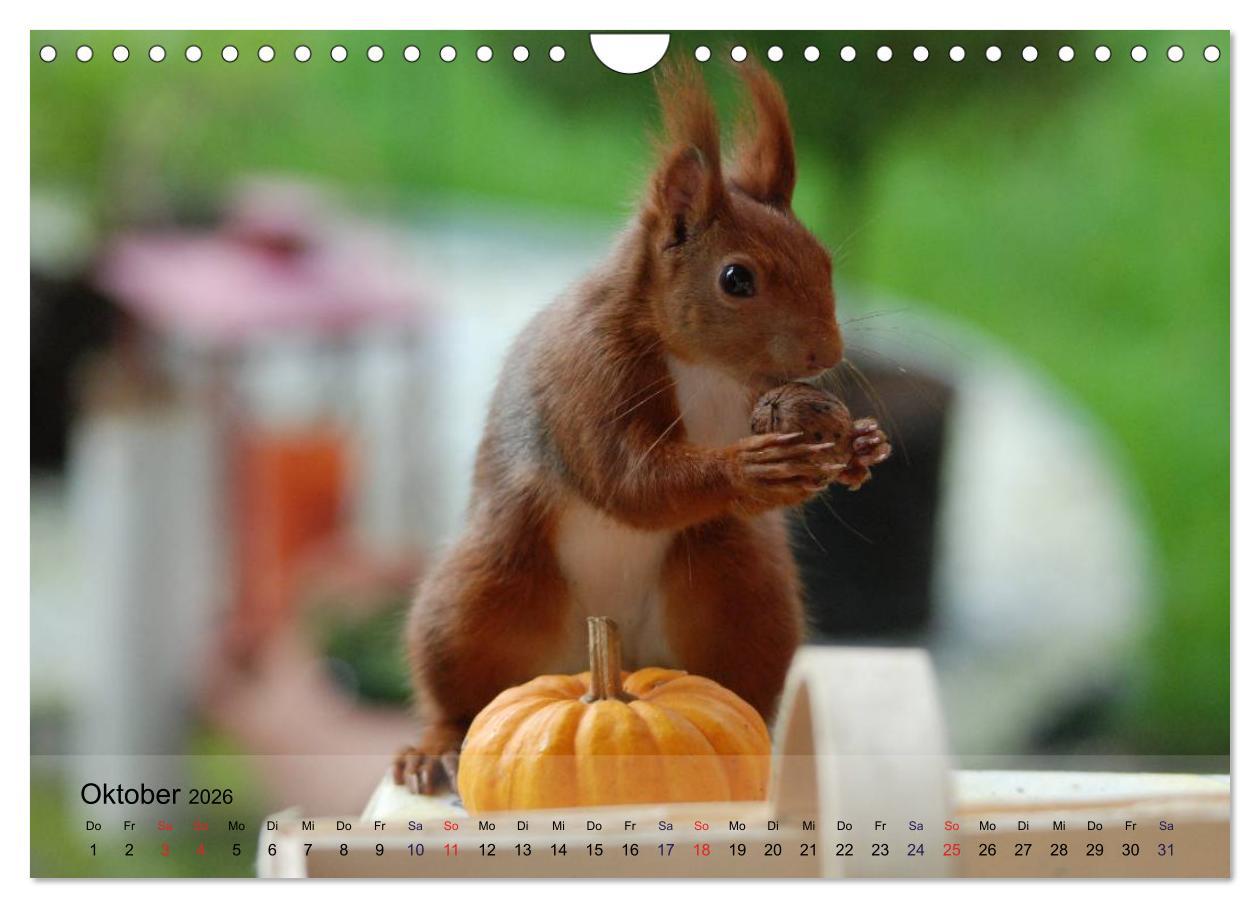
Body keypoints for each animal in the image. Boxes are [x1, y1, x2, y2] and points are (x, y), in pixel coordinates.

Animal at [394, 61, 891, 794]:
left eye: (824, 259)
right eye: (736, 278)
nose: (825, 353)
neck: (702, 364)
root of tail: (605, 652)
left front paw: (858, 447)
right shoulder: (588, 372)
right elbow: (627, 480)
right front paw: (748, 469)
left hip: (741, 589)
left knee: (742, 679)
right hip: (482, 593)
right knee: (457, 690)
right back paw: (434, 747)